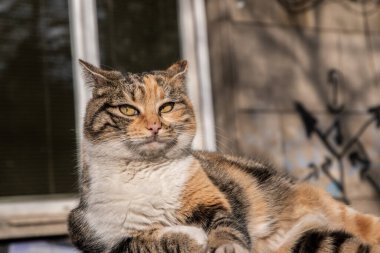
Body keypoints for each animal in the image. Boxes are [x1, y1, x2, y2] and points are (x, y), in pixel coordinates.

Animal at [68, 59, 380, 253]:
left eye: (167, 107)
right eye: (127, 109)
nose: (154, 126)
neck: (148, 172)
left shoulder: (215, 202)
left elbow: (228, 227)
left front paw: (222, 244)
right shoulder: (92, 234)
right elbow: (142, 241)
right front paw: (191, 237)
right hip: (309, 240)